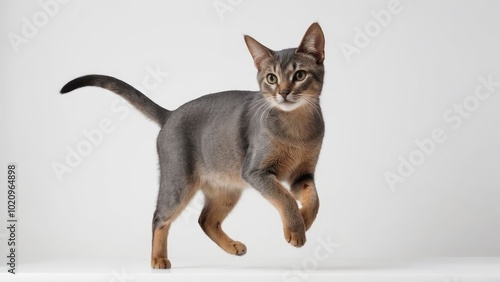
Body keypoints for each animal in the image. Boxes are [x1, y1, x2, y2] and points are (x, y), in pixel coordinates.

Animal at [60, 22, 326, 268]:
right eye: (272, 78)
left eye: (299, 75)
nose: (283, 92)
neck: (296, 127)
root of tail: (170, 114)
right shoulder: (257, 172)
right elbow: (285, 198)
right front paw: (296, 230)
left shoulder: (303, 174)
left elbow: (313, 200)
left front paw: (304, 222)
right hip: (178, 182)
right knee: (159, 217)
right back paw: (158, 259)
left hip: (227, 188)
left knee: (205, 220)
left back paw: (231, 246)